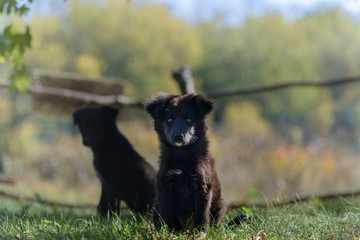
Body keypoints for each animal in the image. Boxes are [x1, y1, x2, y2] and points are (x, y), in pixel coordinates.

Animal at [146, 93, 225, 231]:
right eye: (169, 120)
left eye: (188, 119)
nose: (178, 136)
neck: (181, 156)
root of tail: (186, 228)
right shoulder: (165, 185)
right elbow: (167, 214)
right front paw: (167, 232)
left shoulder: (202, 185)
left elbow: (202, 214)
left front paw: (201, 232)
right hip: (155, 206)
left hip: (219, 205)